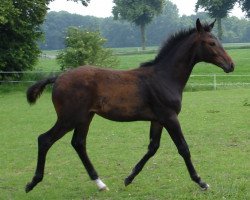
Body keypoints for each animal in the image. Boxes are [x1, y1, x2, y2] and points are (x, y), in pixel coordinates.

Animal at [24, 19, 234, 193]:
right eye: (211, 43)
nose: (231, 65)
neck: (164, 77)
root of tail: (58, 78)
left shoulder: (158, 119)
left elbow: (153, 147)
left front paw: (129, 178)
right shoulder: (170, 117)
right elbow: (183, 148)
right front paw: (201, 182)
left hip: (85, 117)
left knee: (78, 143)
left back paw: (100, 184)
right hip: (69, 118)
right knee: (45, 139)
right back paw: (32, 183)